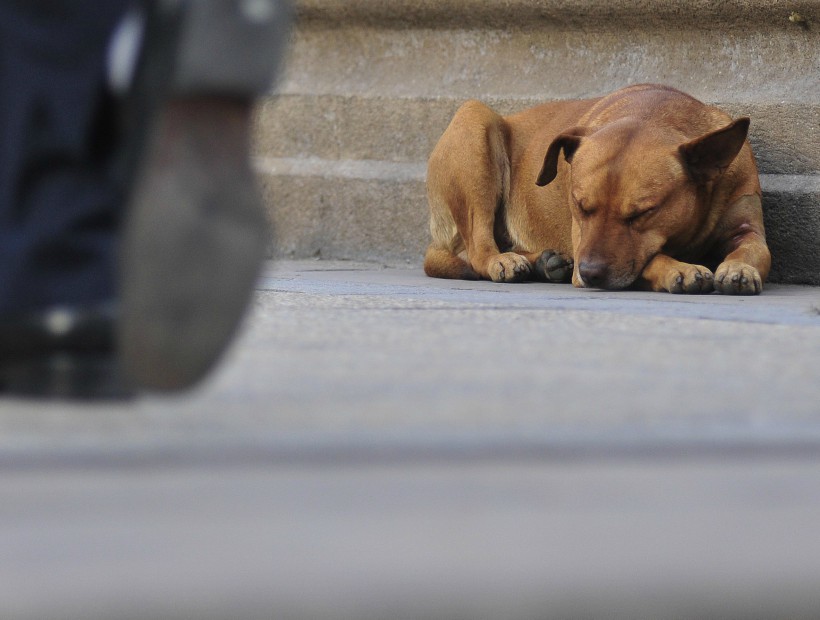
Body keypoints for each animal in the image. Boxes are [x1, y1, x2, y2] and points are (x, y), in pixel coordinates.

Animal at [426, 83, 772, 294]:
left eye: (643, 213)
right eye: (580, 206)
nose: (589, 272)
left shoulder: (746, 225)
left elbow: (755, 249)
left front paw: (739, 267)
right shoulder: (585, 241)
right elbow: (650, 258)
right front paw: (679, 269)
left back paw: (543, 262)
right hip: (473, 121)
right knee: (477, 249)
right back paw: (504, 261)